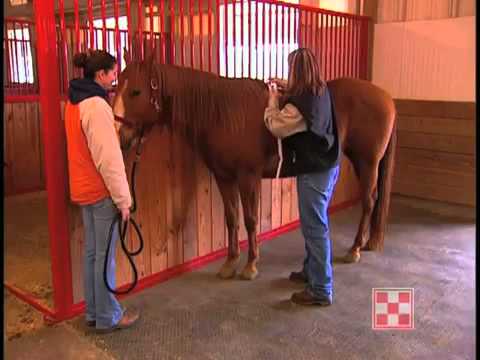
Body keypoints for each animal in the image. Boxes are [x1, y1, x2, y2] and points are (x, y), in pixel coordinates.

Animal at [113, 54, 398, 282]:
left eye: (135, 92)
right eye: (116, 86)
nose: (119, 135)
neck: (223, 112)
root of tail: (386, 97)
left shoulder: (247, 177)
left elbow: (250, 219)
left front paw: (250, 265)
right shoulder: (224, 177)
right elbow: (231, 218)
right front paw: (230, 263)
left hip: (368, 162)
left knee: (369, 200)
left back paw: (355, 248)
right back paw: (366, 242)